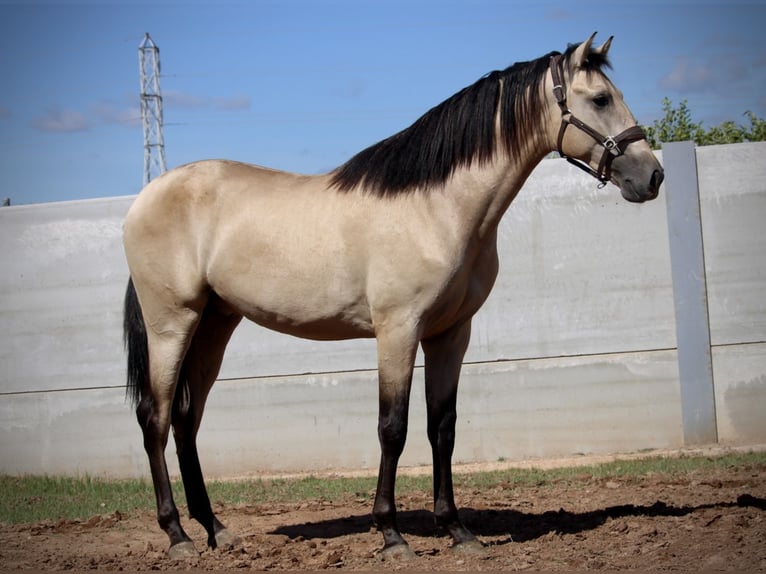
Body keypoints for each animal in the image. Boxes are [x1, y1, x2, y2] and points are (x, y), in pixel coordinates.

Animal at [123, 33, 664, 560]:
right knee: (156, 418)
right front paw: (391, 534)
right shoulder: (397, 329)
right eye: (600, 98)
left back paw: (216, 530)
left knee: (186, 420)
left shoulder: (450, 334)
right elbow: (393, 427)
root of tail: (146, 197)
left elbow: (442, 427)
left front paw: (457, 530)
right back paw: (178, 536)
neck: (435, 208)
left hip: (214, 324)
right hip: (172, 324)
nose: (652, 176)